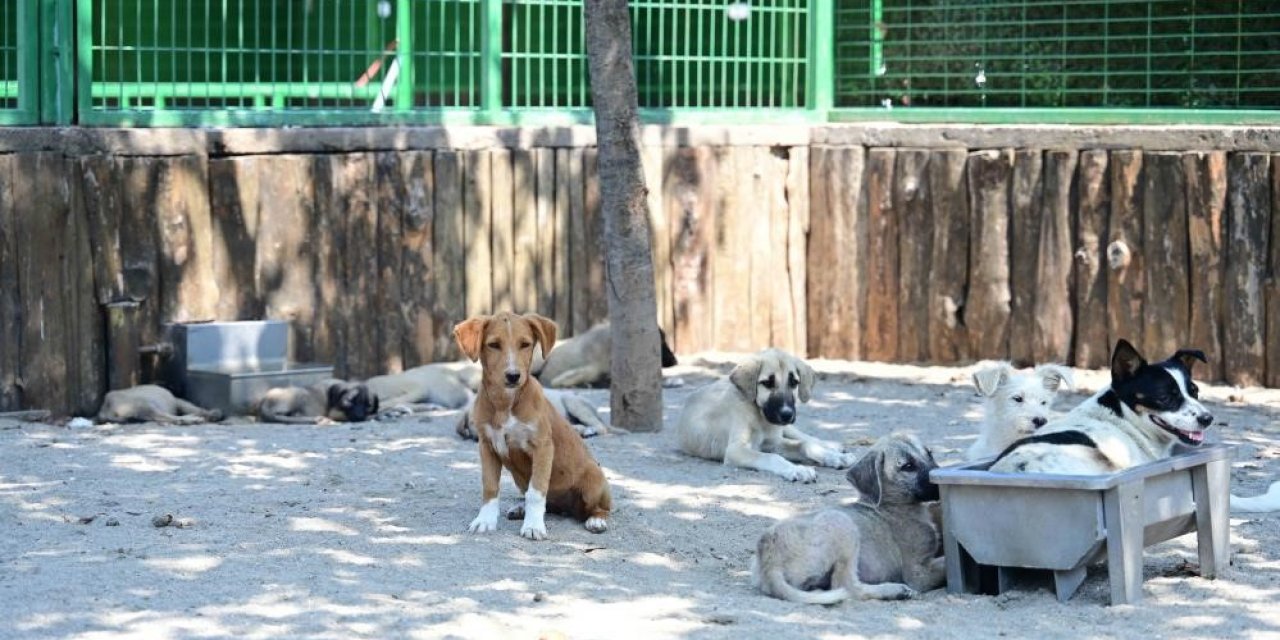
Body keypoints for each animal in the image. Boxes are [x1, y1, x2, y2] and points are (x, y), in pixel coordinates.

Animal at [97, 384, 225, 424]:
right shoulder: (178, 400)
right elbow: (193, 407)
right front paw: (214, 413)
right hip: (144, 403)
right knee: (169, 417)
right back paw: (193, 420)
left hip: (145, 410)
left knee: (161, 418)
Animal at [675, 350, 855, 481]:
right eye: (767, 383)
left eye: (794, 382)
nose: (787, 414)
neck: (759, 417)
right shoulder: (736, 450)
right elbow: (773, 457)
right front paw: (797, 469)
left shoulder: (773, 441)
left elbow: (803, 444)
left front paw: (832, 456)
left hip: (787, 428)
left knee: (805, 437)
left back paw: (832, 448)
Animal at [747, 430, 947, 604]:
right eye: (908, 466)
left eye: (930, 454)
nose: (939, 485)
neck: (891, 506)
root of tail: (768, 560)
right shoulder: (918, 573)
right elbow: (943, 566)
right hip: (842, 524)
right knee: (846, 585)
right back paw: (895, 591)